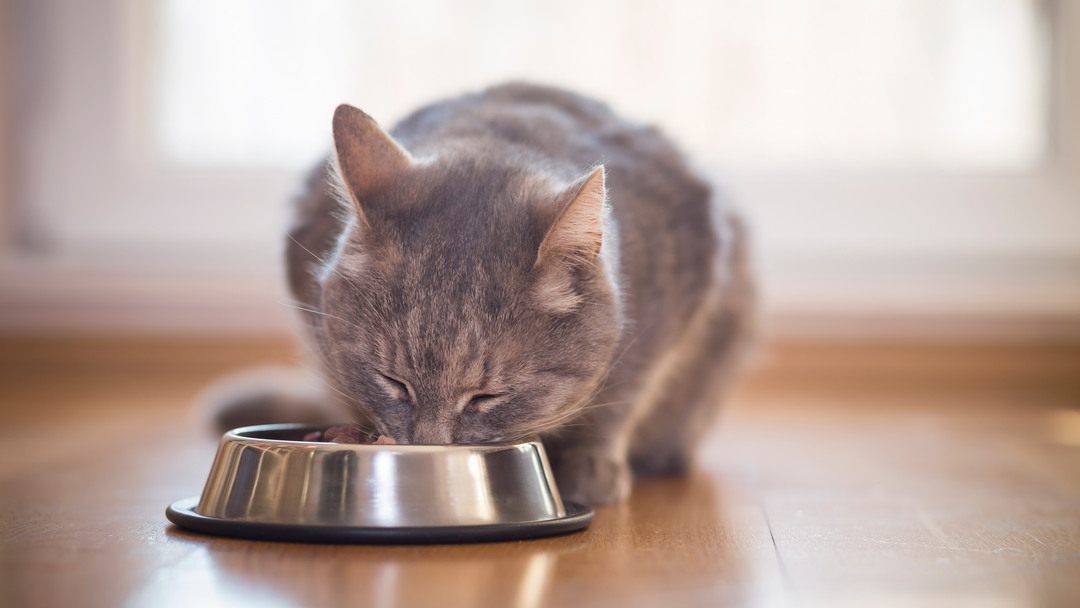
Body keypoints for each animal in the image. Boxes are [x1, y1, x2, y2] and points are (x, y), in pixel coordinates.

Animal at [208, 84, 751, 505]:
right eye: (393, 381)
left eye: (487, 396)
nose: (429, 450)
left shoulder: (676, 301)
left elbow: (624, 396)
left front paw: (592, 460)